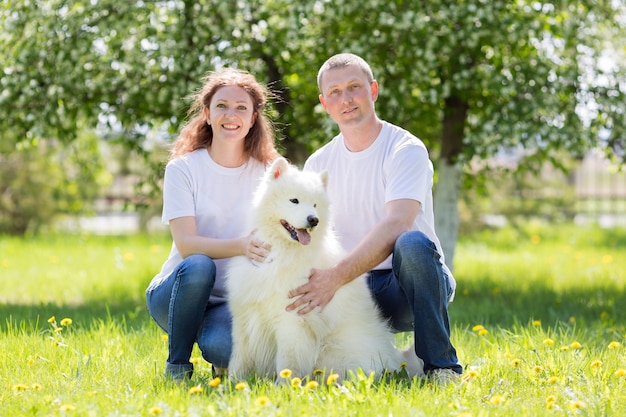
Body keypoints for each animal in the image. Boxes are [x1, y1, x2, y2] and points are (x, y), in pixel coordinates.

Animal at [225, 158, 424, 378]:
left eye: (314, 204)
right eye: (294, 200)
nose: (314, 219)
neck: (281, 250)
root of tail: (396, 361)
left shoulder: (293, 322)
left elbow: (288, 363)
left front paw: (286, 385)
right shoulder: (244, 315)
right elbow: (240, 358)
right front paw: (232, 383)